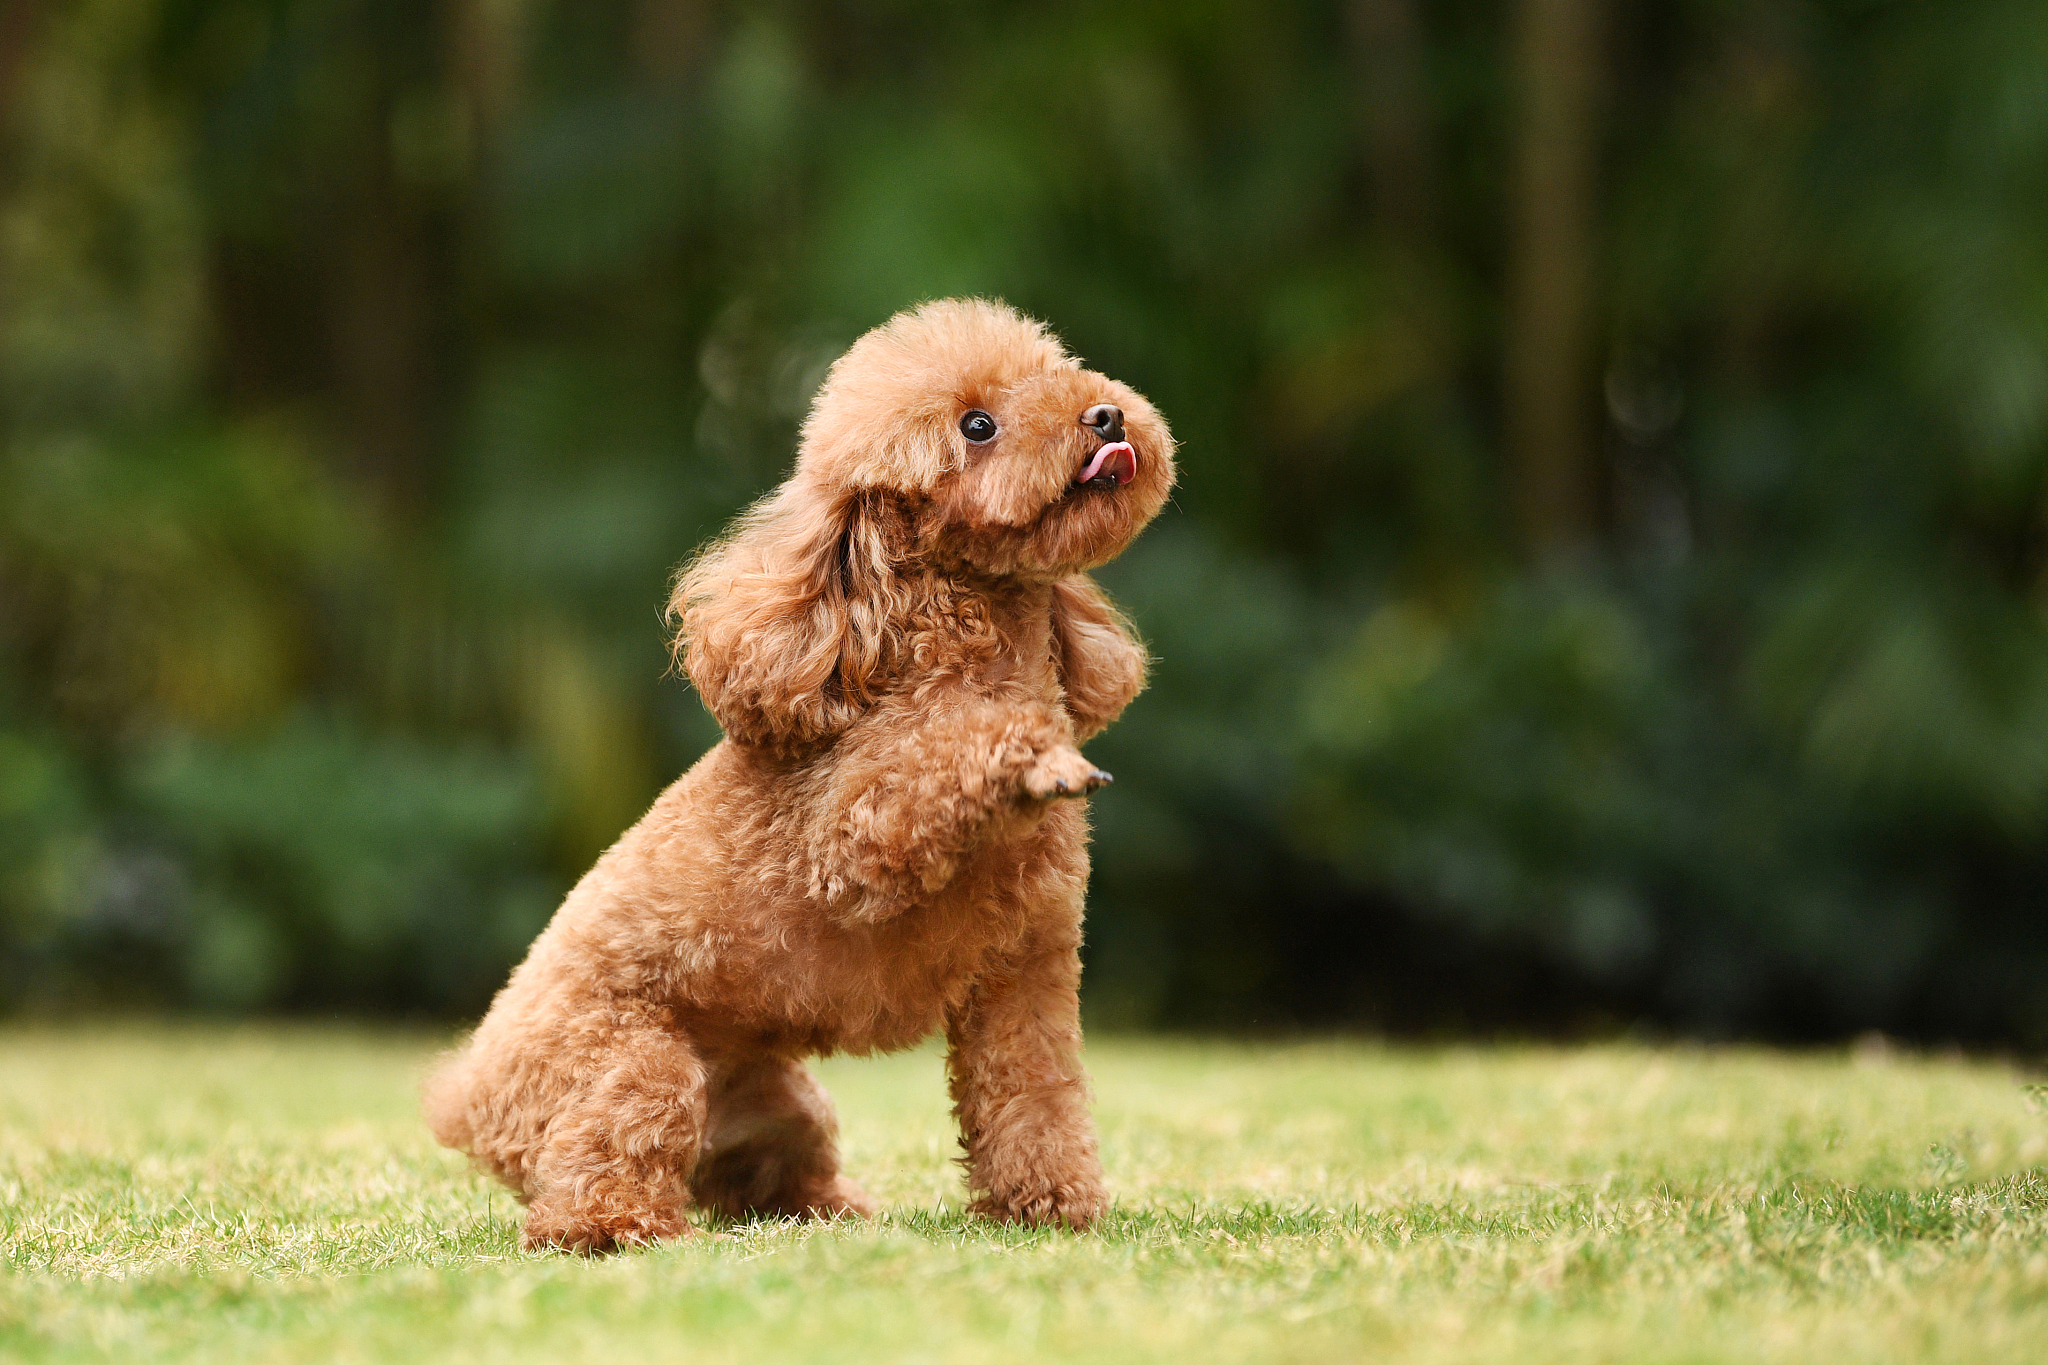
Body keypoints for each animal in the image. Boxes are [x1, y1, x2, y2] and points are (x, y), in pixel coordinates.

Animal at [423, 296, 1179, 1252]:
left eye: (1054, 370)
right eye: (976, 426)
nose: (1107, 416)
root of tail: (466, 1095)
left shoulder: (1025, 973)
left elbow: (1034, 1092)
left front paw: (1048, 1204)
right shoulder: (850, 836)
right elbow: (923, 768)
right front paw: (1033, 750)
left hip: (775, 1096)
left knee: (768, 1162)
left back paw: (829, 1209)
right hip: (625, 1059)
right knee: (606, 1157)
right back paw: (617, 1227)